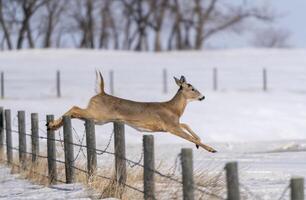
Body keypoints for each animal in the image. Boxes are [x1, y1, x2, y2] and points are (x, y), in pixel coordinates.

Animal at [46, 72, 216, 152]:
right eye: (192, 88)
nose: (203, 96)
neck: (173, 108)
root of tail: (101, 92)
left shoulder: (174, 124)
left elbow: (187, 126)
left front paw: (199, 144)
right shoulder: (170, 126)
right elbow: (188, 136)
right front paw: (211, 149)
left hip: (98, 118)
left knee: (76, 113)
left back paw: (52, 126)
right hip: (98, 114)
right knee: (75, 108)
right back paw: (51, 124)